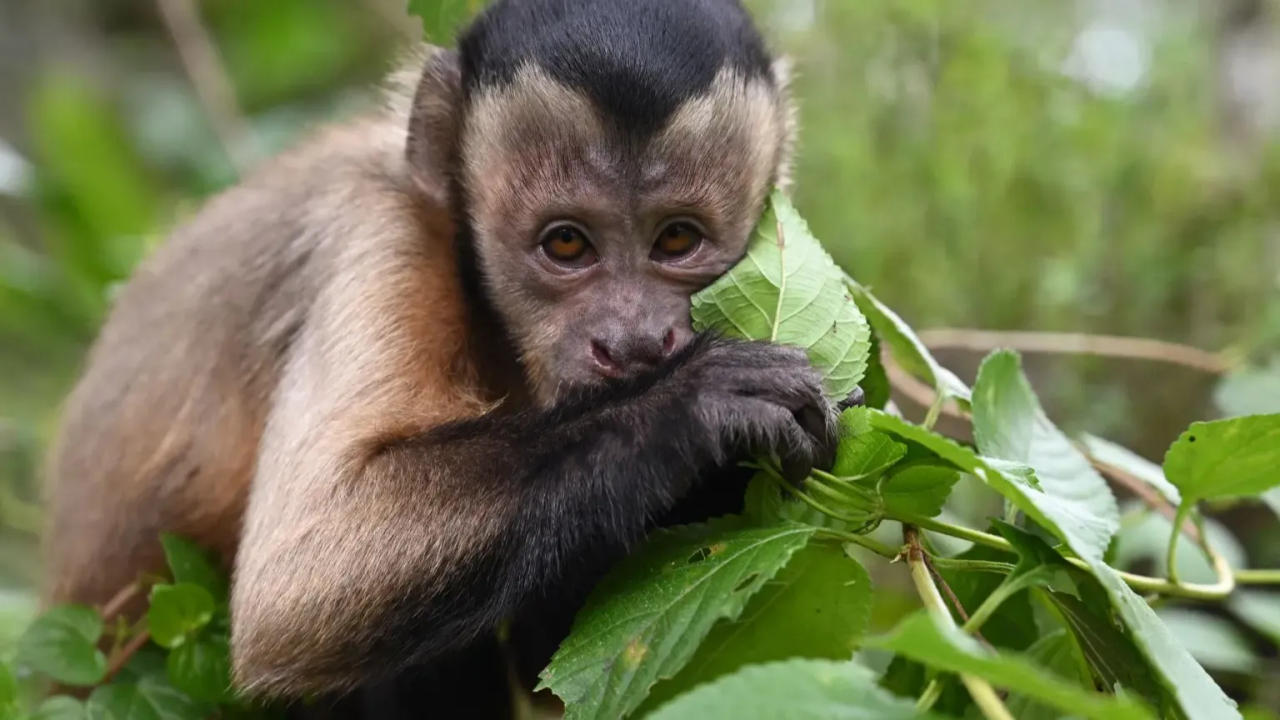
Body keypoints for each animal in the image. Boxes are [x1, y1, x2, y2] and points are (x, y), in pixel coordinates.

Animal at [45, 0, 834, 707]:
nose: (633, 339)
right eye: (566, 243)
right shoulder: (382, 229)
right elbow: (294, 590)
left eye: (676, 239)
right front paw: (691, 405)